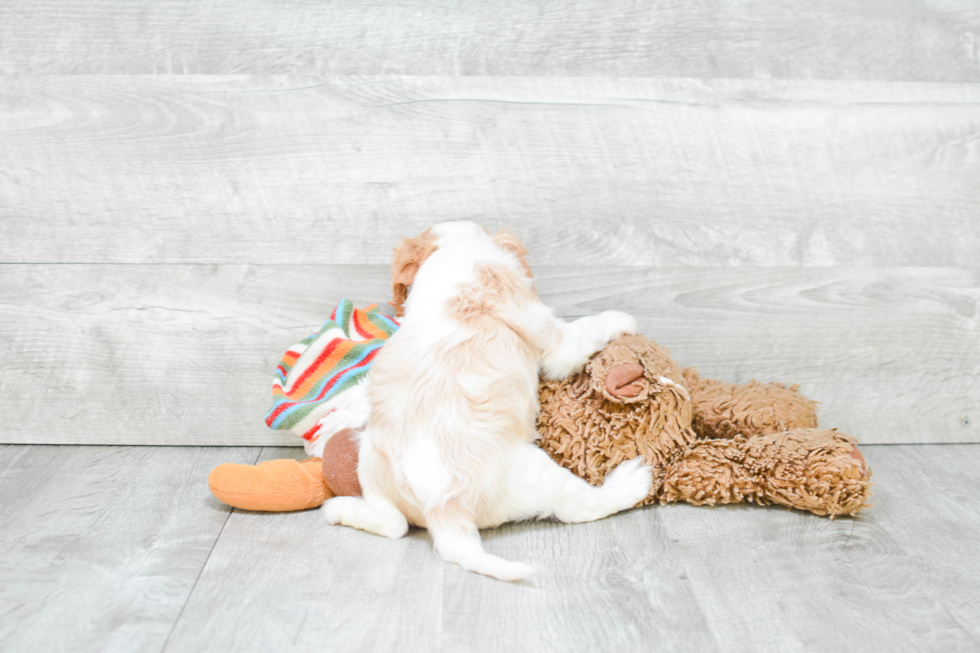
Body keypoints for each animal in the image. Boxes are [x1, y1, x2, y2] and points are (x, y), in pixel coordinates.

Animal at [326, 222, 656, 580]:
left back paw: (338, 509)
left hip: (369, 461)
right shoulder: (555, 339)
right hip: (538, 475)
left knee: (392, 523)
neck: (458, 253)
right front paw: (624, 319)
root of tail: (443, 509)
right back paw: (629, 484)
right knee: (580, 507)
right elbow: (587, 330)